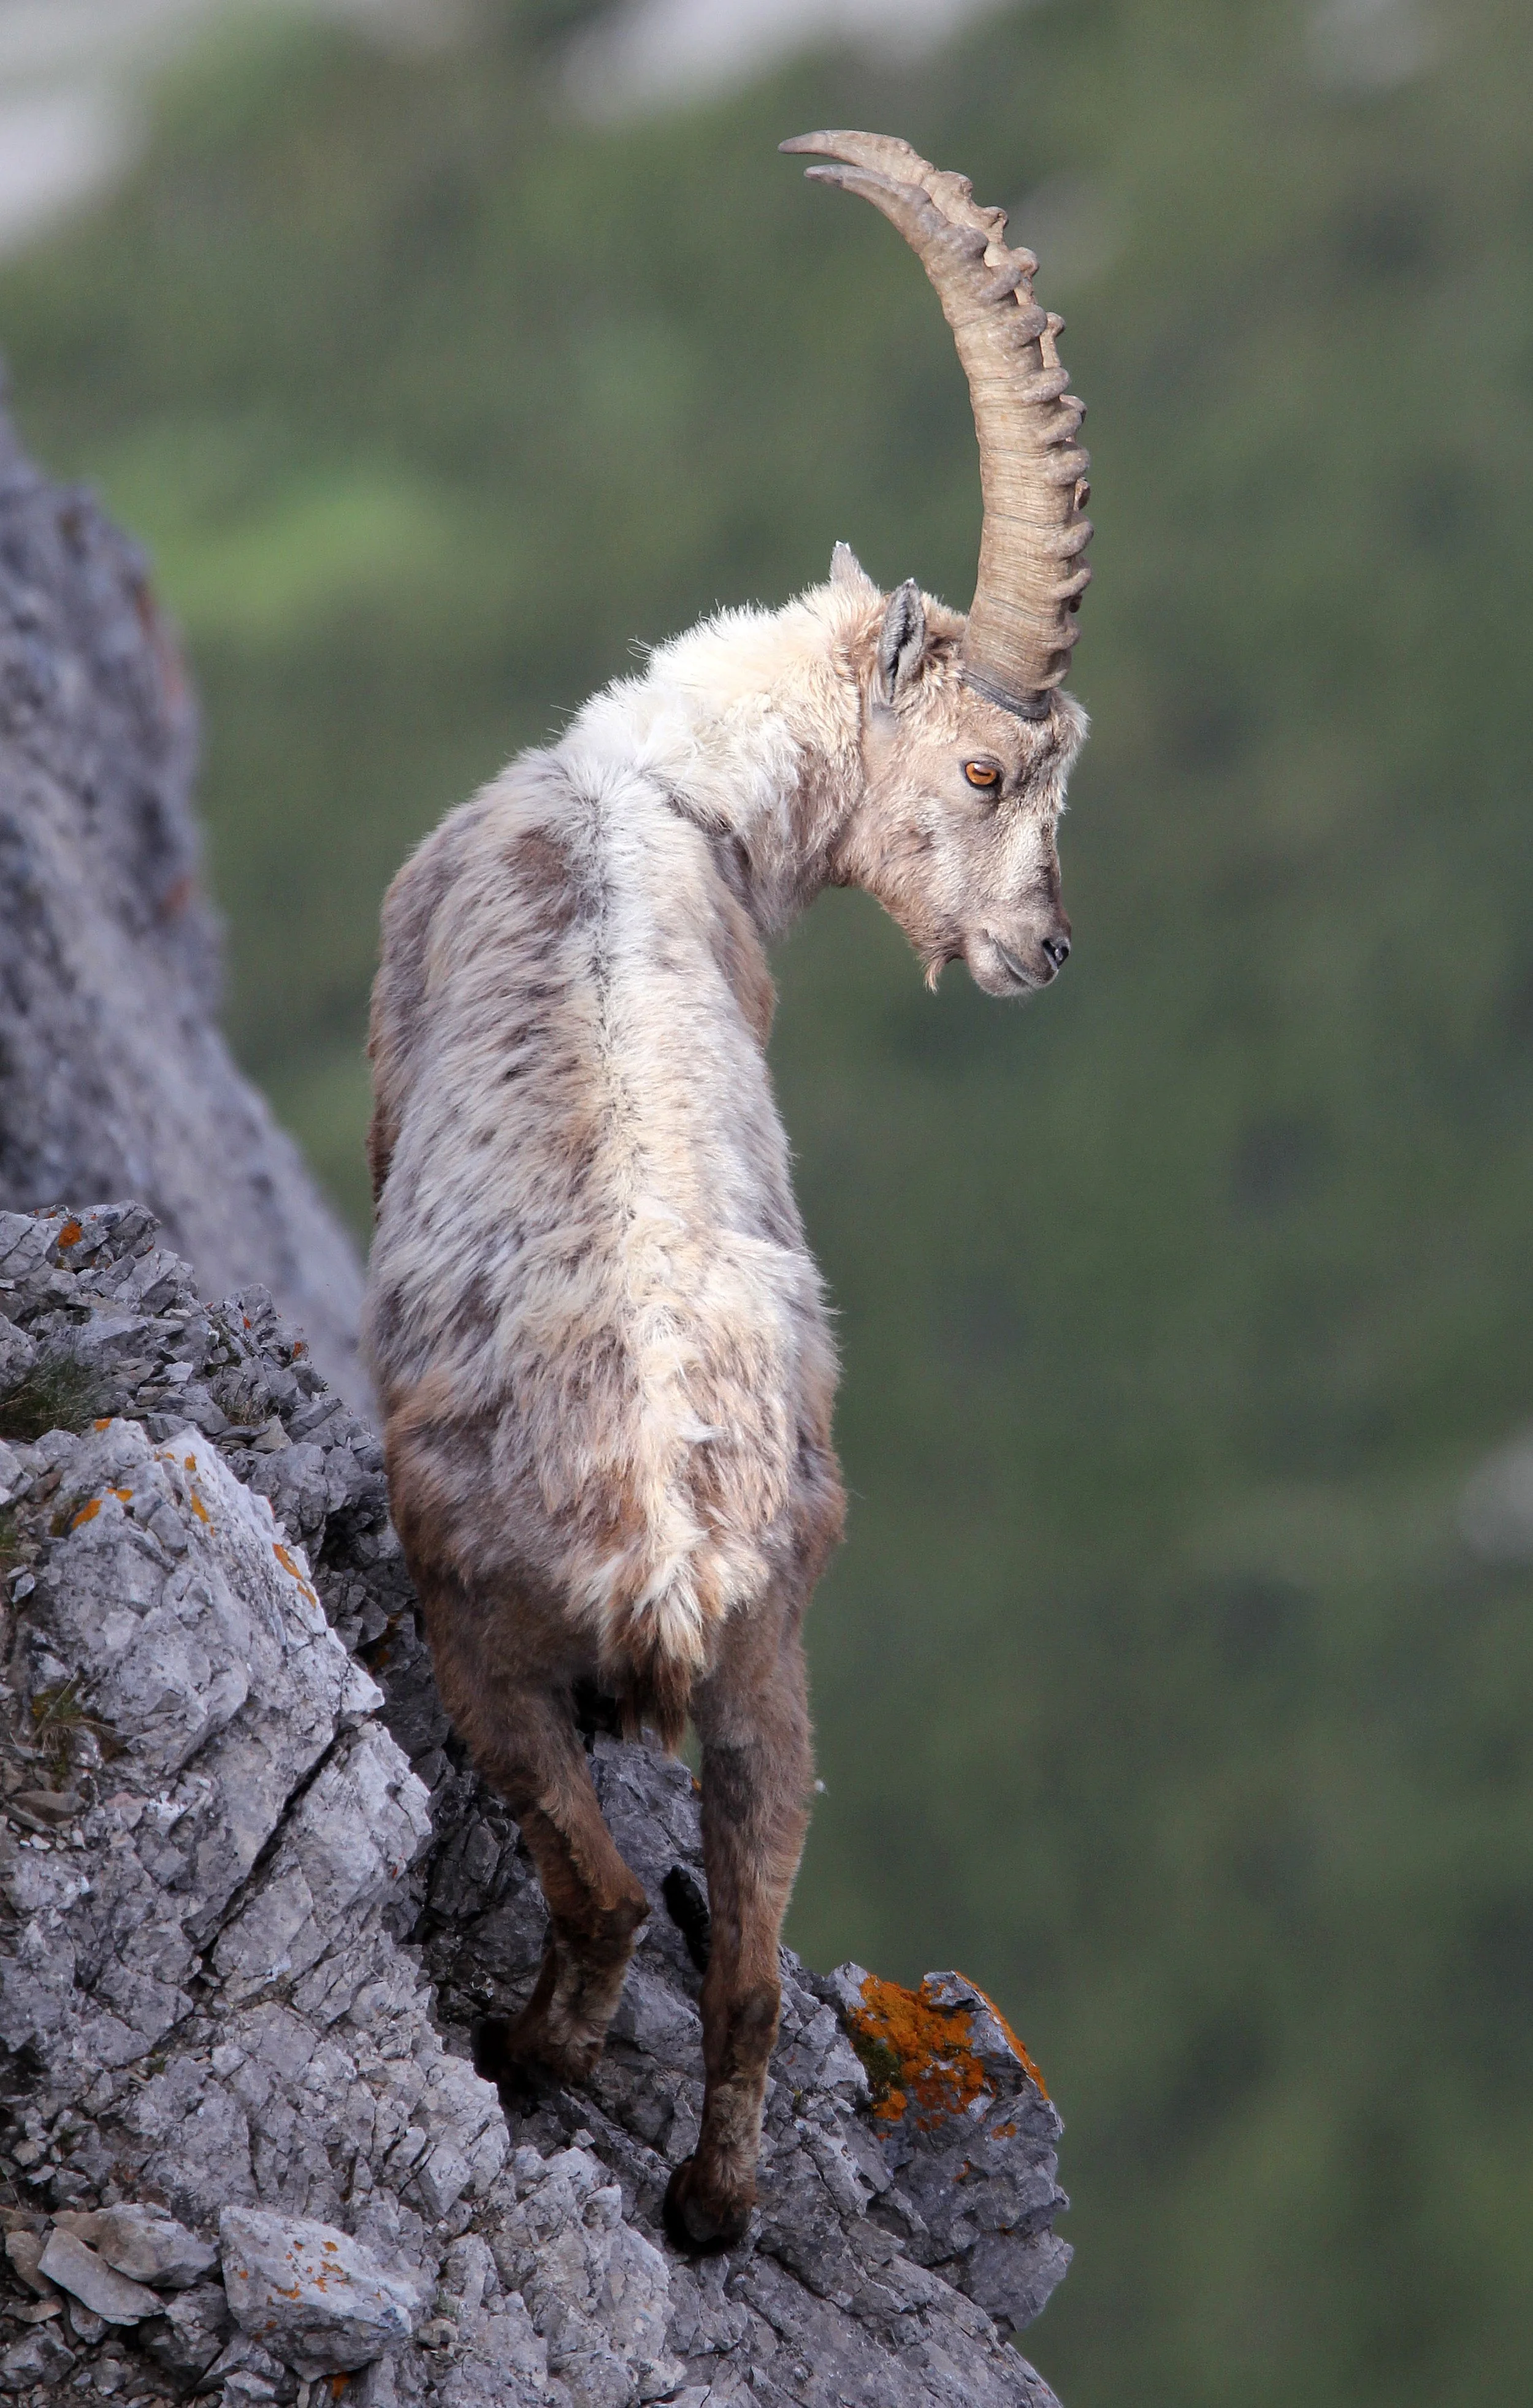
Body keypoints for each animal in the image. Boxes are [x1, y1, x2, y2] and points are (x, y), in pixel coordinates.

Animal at [363, 131, 1094, 2253]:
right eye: (984, 769)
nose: (1042, 953)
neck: (654, 791)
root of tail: (674, 1543)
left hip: (490, 1615)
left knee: (610, 1895)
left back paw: (527, 2058)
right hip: (779, 1651)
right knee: (756, 1959)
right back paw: (705, 2203)